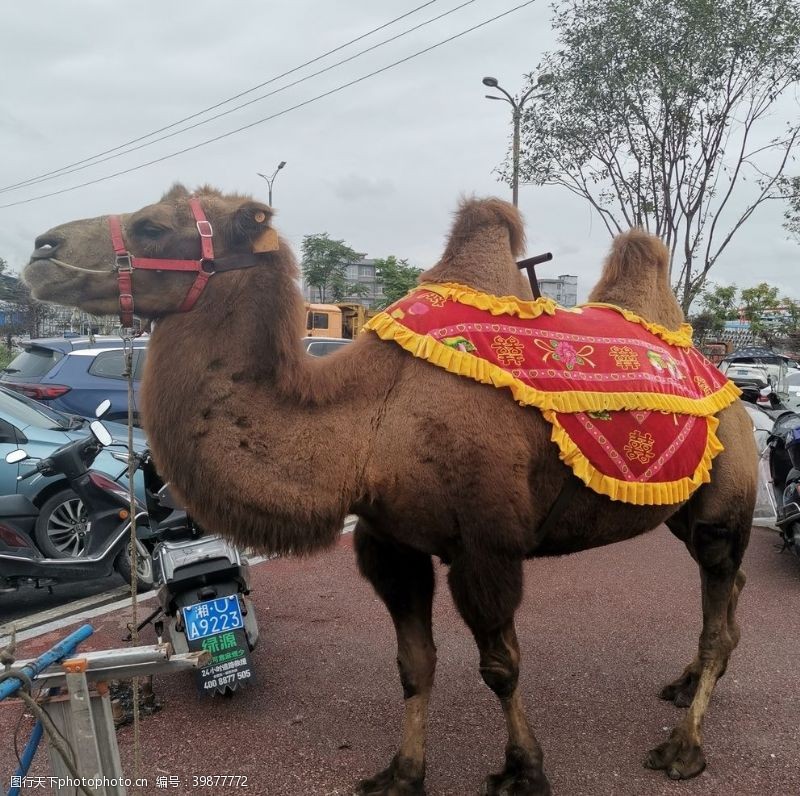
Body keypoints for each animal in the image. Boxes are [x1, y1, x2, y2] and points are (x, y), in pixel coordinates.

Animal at [23, 188, 756, 796]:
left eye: (153, 225)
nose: (39, 250)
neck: (369, 426)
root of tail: (729, 383)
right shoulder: (391, 542)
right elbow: (413, 663)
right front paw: (402, 774)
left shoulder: (486, 546)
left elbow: (501, 666)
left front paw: (524, 771)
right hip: (683, 512)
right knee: (728, 593)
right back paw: (683, 685)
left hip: (723, 504)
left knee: (719, 611)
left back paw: (684, 747)